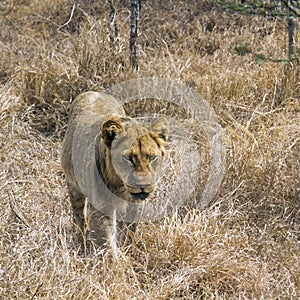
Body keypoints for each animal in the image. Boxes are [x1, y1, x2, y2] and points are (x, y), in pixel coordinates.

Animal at [61, 91, 169, 255]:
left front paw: (128, 253)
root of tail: (94, 92)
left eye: (151, 157)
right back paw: (82, 244)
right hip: (74, 186)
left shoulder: (136, 206)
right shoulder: (101, 208)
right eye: (128, 158)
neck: (120, 187)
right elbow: (107, 244)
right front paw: (116, 261)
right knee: (78, 215)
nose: (143, 185)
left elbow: (128, 234)